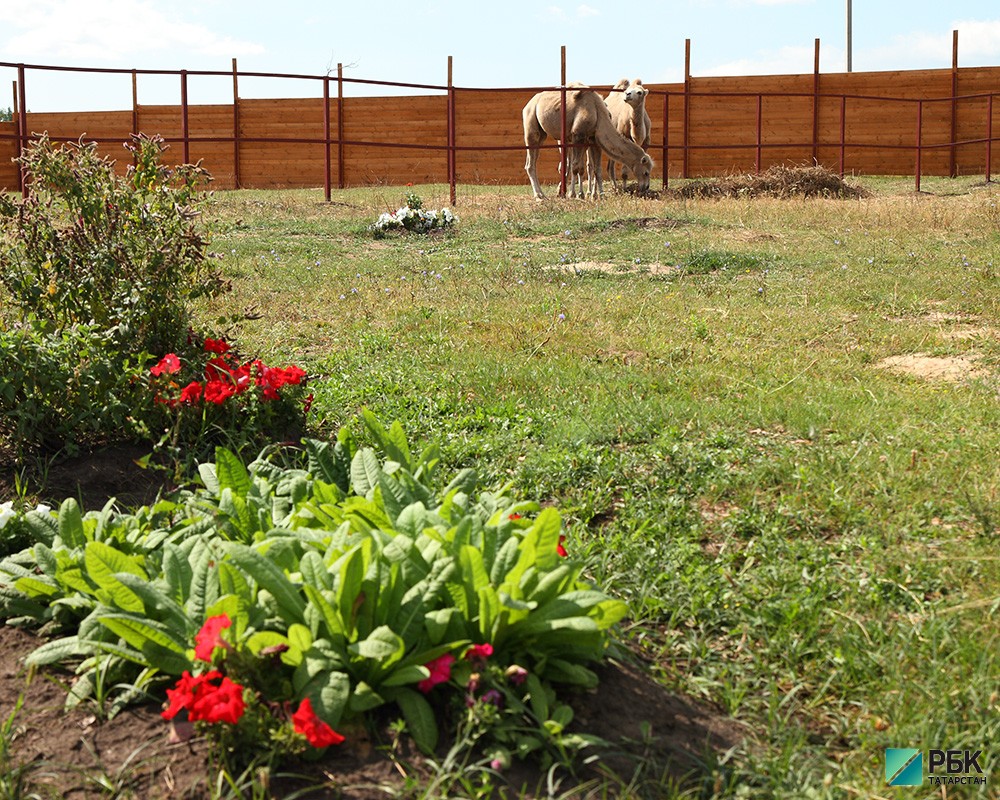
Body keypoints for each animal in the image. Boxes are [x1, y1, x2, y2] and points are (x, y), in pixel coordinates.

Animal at [520, 84, 652, 200]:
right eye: (646, 172)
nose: (645, 187)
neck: (597, 111)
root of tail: (529, 103)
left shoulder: (593, 139)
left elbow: (596, 168)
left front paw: (600, 195)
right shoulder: (578, 136)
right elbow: (576, 167)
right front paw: (574, 194)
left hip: (542, 134)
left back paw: (543, 195)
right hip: (531, 123)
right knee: (530, 164)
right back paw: (539, 196)